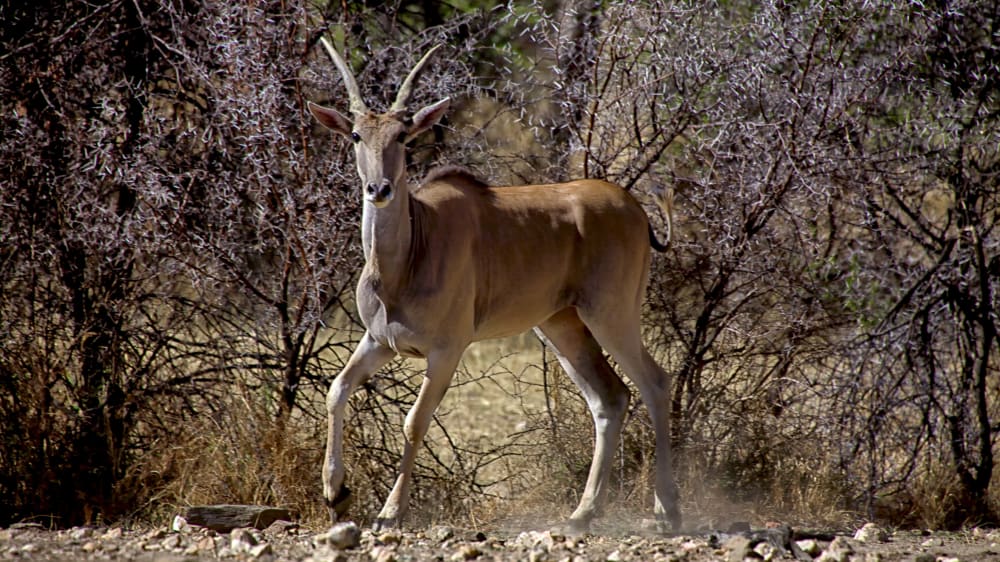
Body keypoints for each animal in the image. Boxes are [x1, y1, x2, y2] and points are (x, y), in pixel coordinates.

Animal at [304, 38, 680, 528]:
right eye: (355, 135)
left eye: (402, 136)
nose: (378, 189)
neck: (404, 261)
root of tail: (635, 210)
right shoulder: (379, 341)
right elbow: (337, 389)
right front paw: (336, 492)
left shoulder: (447, 349)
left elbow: (414, 422)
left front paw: (389, 511)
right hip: (562, 326)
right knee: (610, 399)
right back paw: (583, 512)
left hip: (611, 315)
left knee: (655, 383)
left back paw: (667, 509)